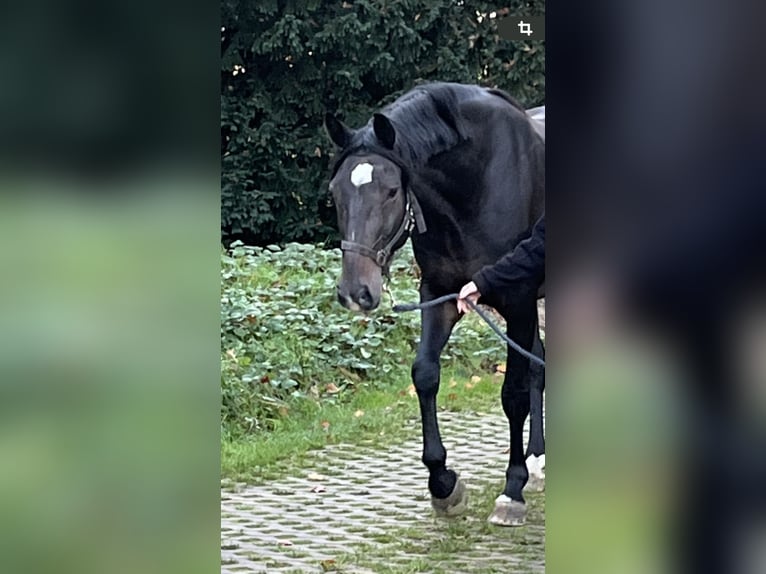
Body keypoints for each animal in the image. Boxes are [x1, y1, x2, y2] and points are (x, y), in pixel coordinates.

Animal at [324, 83, 544, 528]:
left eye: (391, 191)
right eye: (335, 193)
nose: (356, 292)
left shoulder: (520, 300)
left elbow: (513, 394)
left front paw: (512, 489)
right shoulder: (440, 294)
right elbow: (425, 375)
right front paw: (443, 483)